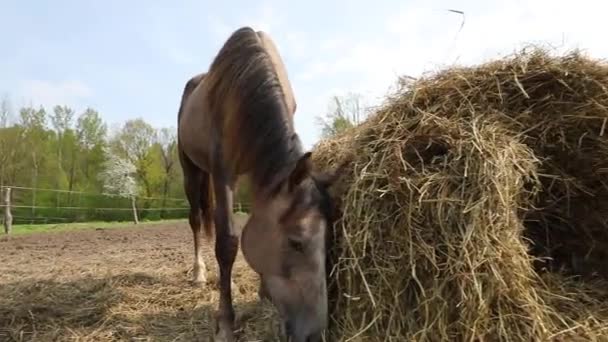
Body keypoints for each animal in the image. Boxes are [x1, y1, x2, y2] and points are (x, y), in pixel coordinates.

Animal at [176, 26, 346, 342]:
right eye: (296, 242)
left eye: (330, 240)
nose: (316, 335)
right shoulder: (223, 174)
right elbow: (227, 244)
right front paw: (225, 323)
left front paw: (263, 292)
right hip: (191, 170)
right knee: (196, 220)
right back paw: (199, 273)